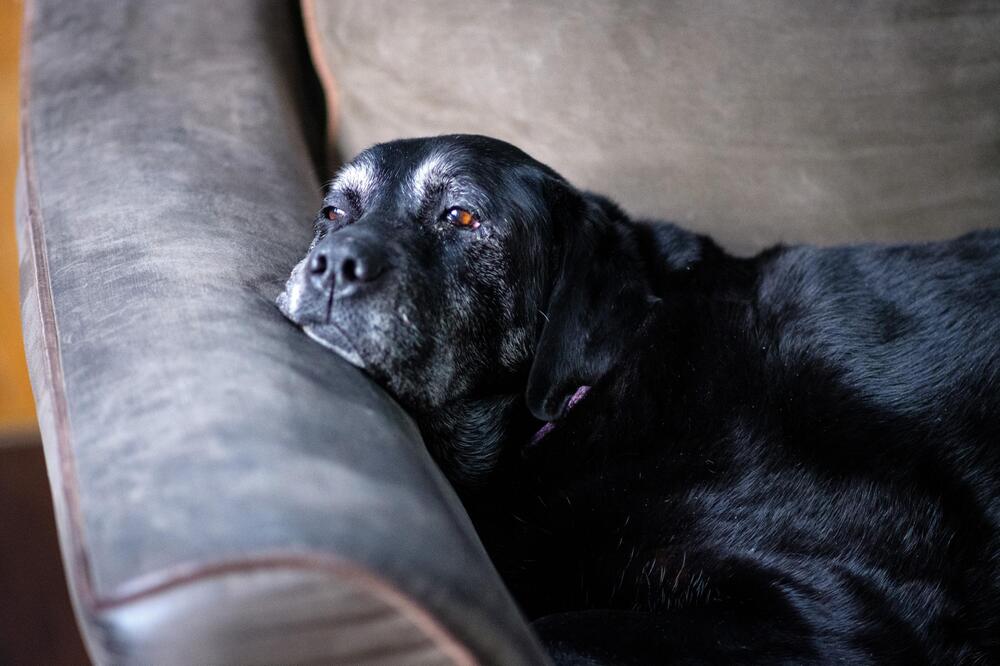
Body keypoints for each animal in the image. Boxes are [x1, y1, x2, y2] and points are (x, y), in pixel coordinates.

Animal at [280, 135, 1000, 664]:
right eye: (334, 212)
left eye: (460, 215)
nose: (331, 262)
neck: (596, 393)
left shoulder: (836, 608)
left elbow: (557, 632)